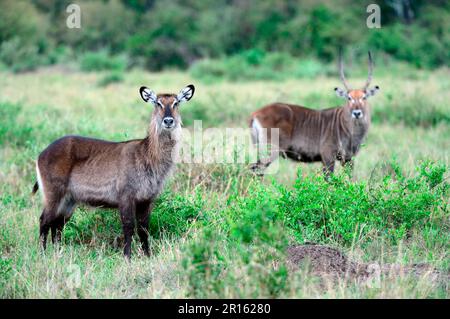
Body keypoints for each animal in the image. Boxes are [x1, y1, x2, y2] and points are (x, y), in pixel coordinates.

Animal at [31, 84, 193, 258]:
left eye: (176, 103)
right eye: (158, 103)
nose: (168, 121)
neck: (147, 154)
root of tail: (42, 154)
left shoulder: (146, 199)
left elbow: (144, 229)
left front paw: (148, 256)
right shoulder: (126, 196)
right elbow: (128, 227)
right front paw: (128, 257)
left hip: (69, 200)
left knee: (58, 224)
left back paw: (58, 253)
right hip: (53, 193)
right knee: (44, 220)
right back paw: (42, 254)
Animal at [250, 52, 380, 178]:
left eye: (364, 97)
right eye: (349, 98)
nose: (357, 113)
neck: (346, 127)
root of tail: (255, 114)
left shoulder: (349, 158)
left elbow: (350, 179)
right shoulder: (328, 156)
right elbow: (330, 179)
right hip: (270, 151)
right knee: (255, 170)